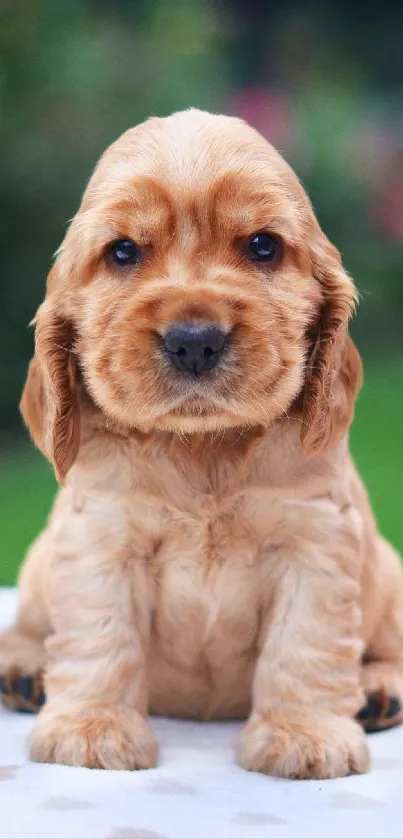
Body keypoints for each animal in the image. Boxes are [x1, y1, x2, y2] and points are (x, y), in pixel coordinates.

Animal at [1, 106, 402, 780]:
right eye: (123, 251)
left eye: (263, 245)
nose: (194, 340)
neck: (203, 446)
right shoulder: (101, 539)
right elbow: (101, 636)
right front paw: (91, 730)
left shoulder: (315, 543)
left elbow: (304, 643)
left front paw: (303, 736)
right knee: (31, 624)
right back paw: (24, 671)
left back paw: (378, 693)